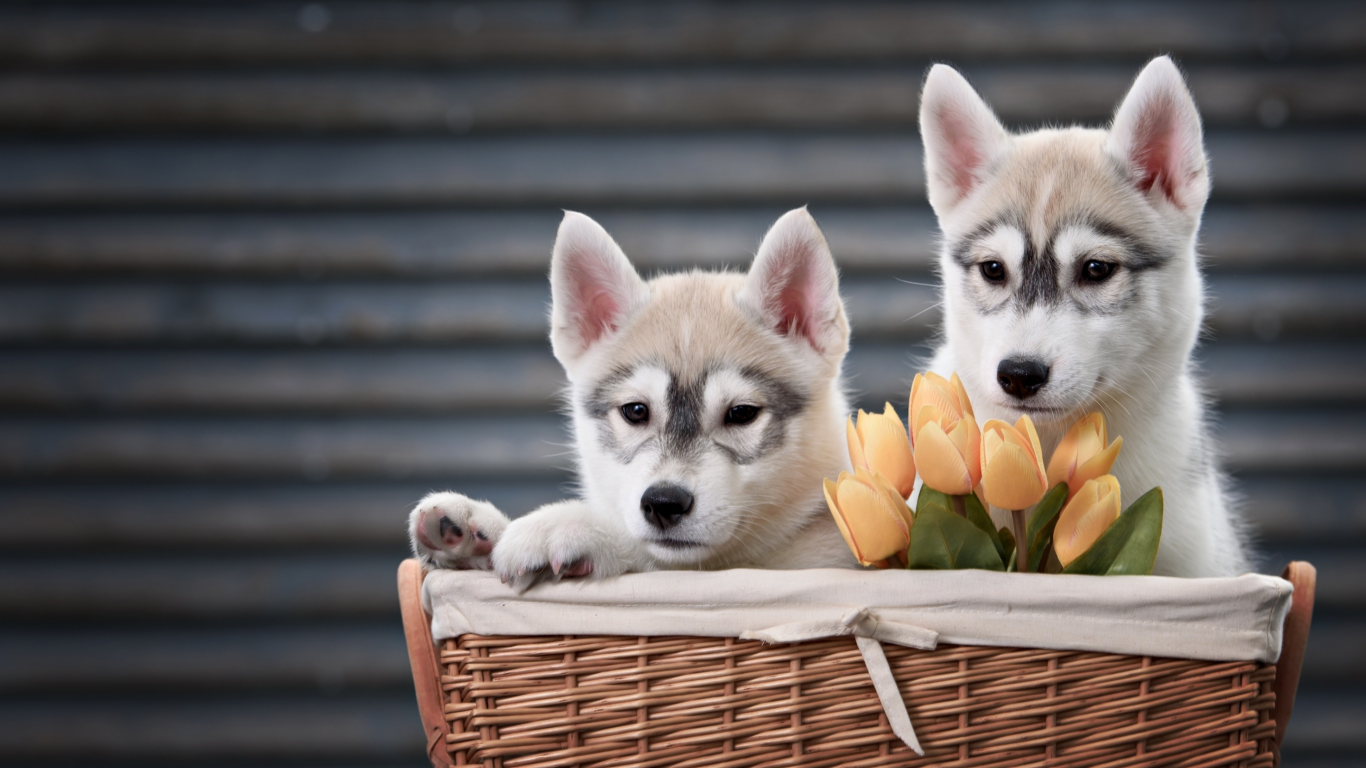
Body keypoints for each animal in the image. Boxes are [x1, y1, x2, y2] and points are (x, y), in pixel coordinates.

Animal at [407, 206, 852, 582]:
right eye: (636, 410)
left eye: (741, 413)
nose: (664, 504)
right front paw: (476, 529)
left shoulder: (812, 559)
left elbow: (655, 557)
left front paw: (570, 525)